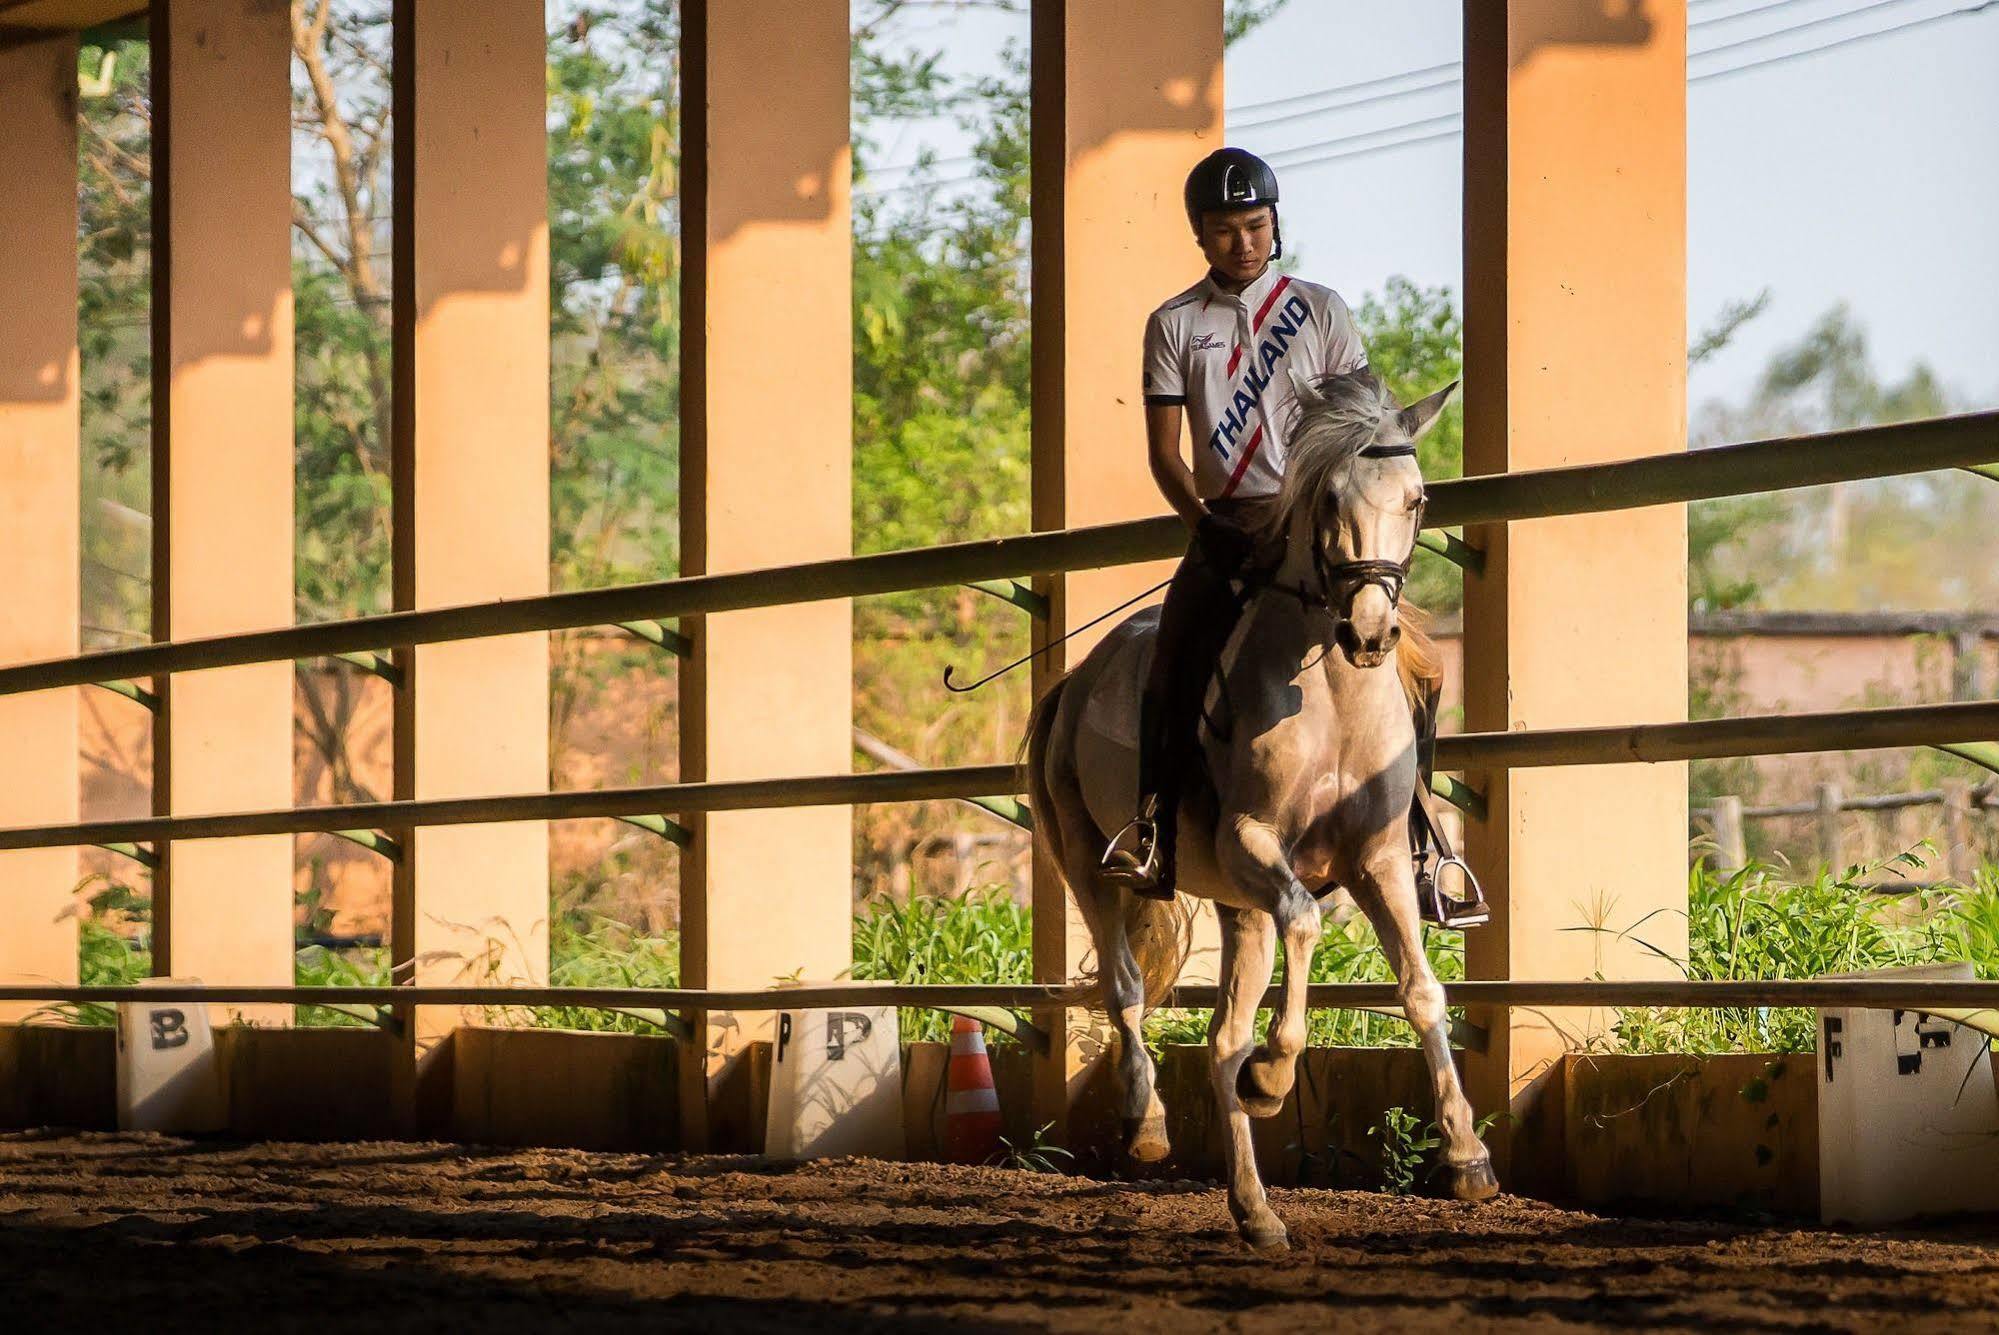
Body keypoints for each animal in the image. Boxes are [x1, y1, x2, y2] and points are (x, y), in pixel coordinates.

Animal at [1023, 367, 1495, 1255]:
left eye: (1416, 499)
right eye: (1329, 499)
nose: (1370, 632)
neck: (1332, 694)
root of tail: (1072, 683)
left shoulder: (1379, 858)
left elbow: (1420, 988)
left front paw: (1466, 1157)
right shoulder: (1254, 841)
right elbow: (1306, 923)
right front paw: (1274, 1078)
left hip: (1234, 905)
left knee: (1218, 1039)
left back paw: (1255, 1210)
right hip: (1086, 860)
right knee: (1126, 987)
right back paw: (1147, 1122)